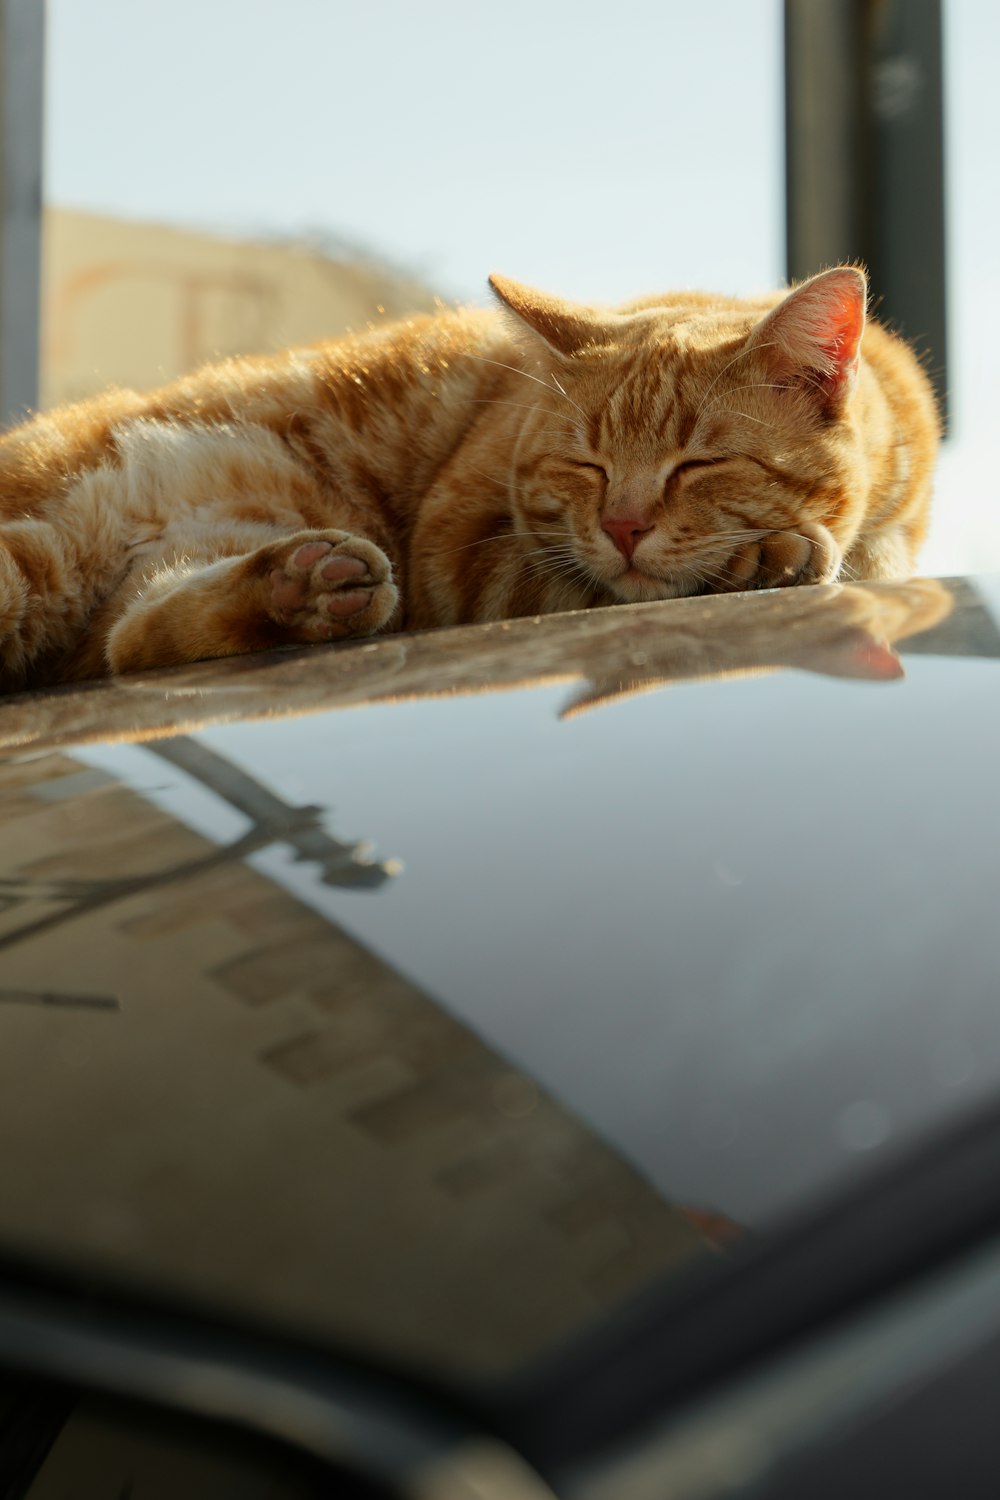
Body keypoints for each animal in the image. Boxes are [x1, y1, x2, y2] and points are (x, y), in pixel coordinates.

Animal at [0, 265, 941, 690]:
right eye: (586, 464)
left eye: (699, 463)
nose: (625, 526)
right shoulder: (458, 554)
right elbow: (580, 586)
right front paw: (760, 560)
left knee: (135, 637)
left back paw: (304, 588)